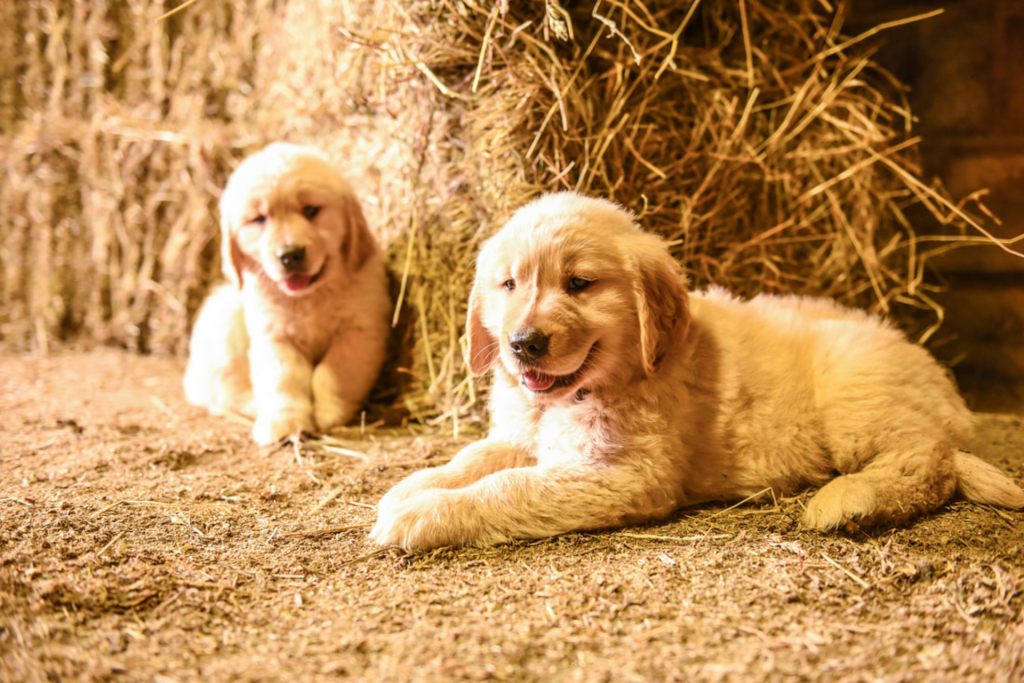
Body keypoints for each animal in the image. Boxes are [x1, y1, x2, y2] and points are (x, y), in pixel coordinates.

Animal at [184, 141, 391, 446]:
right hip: (226, 318)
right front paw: (283, 421)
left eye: (310, 210)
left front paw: (328, 412)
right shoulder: (274, 336)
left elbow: (334, 373)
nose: (290, 255)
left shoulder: (359, 330)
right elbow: (284, 379)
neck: (309, 297)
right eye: (259, 219)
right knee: (224, 394)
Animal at [368, 192, 1024, 548]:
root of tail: (943, 390)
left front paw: (421, 513)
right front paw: (413, 486)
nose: (523, 344)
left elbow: (509, 487)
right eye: (508, 284)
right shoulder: (522, 433)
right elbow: (473, 458)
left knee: (926, 461)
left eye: (579, 284)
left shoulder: (625, 473)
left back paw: (848, 501)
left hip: (856, 400)